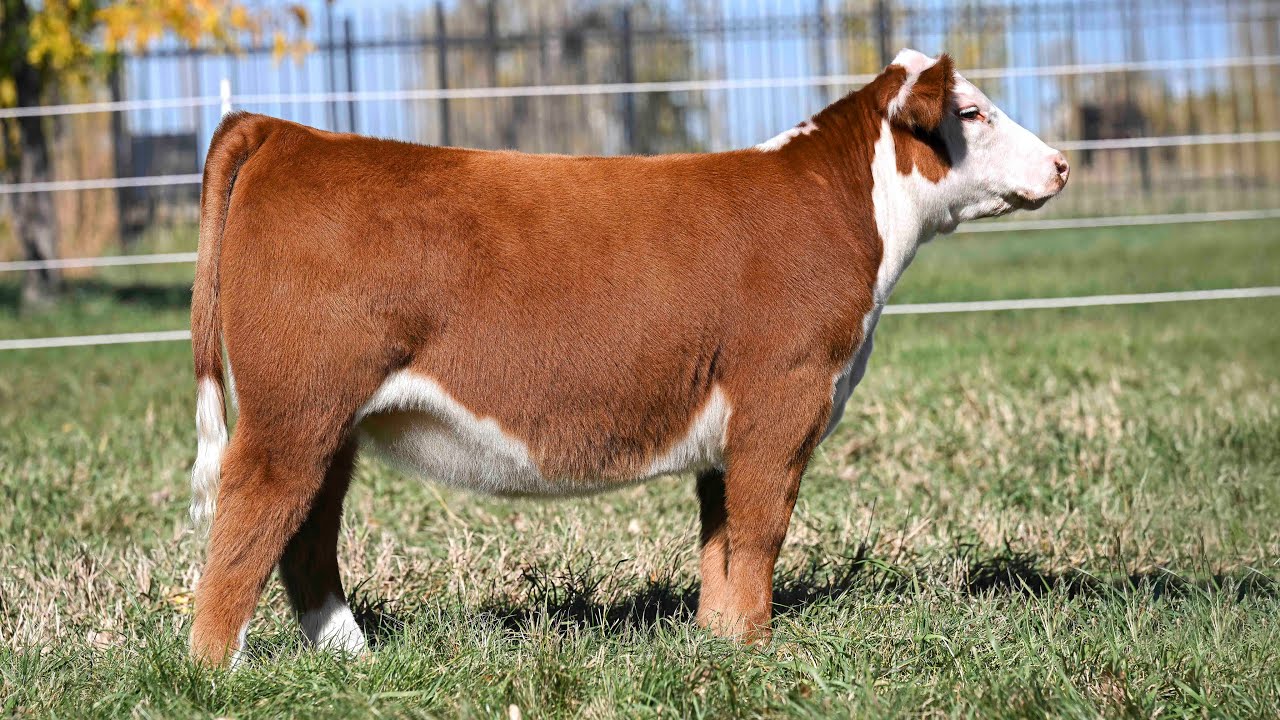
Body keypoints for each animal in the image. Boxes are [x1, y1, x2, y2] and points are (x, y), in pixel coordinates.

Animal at [187, 49, 1068, 666]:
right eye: (973, 112)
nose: (1060, 164)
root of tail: (287, 131)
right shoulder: (782, 396)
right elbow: (761, 529)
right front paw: (758, 650)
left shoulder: (728, 424)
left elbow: (721, 538)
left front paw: (719, 641)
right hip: (293, 412)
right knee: (246, 524)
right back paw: (217, 670)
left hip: (329, 423)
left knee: (305, 538)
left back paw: (353, 658)